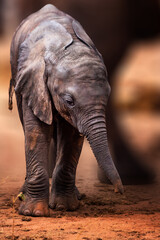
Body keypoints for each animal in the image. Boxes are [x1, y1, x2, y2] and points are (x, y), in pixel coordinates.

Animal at [8, 4, 123, 218]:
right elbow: (36, 133)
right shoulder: (33, 82)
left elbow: (71, 137)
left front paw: (65, 207)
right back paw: (23, 195)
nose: (119, 191)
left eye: (107, 97)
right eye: (69, 101)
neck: (64, 51)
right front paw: (34, 213)